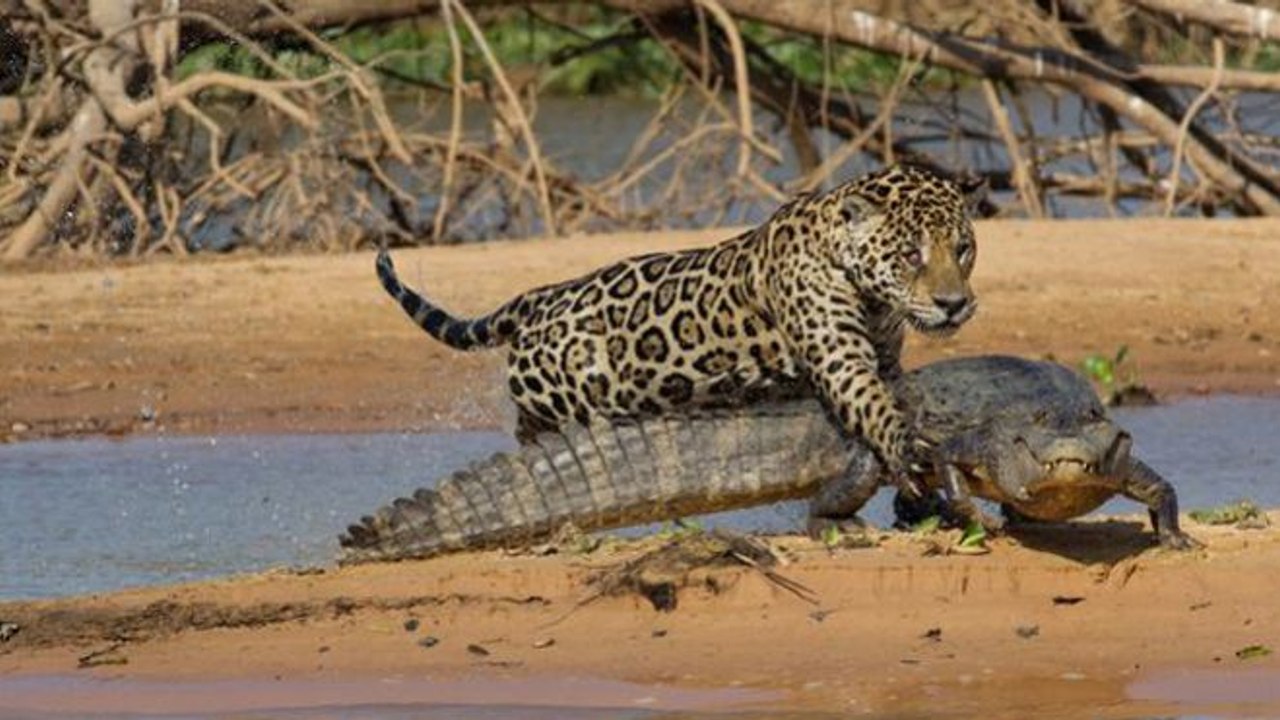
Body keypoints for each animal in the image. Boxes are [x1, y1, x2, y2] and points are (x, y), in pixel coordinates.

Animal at [377, 164, 985, 482]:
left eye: (963, 248)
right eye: (910, 255)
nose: (954, 303)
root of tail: (537, 299)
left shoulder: (884, 354)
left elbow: (897, 393)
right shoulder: (840, 358)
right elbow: (873, 404)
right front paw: (906, 446)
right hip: (564, 399)